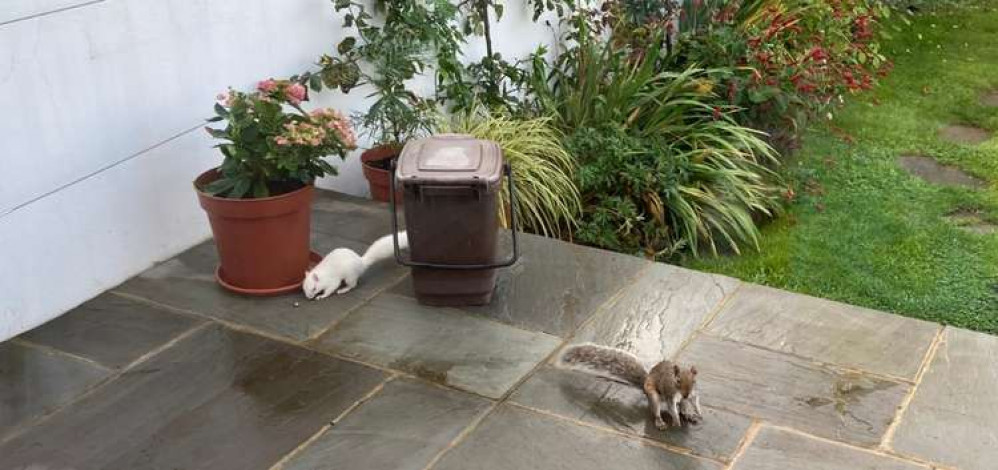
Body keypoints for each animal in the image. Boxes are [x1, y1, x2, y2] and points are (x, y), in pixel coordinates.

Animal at [556, 342, 704, 430]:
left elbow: (696, 401)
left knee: (683, 408)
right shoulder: (669, 394)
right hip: (653, 395)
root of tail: (644, 384)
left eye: (694, 381)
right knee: (655, 410)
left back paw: (689, 415)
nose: (685, 394)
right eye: (677, 381)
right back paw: (660, 422)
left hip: (681, 402)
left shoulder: (693, 394)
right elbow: (672, 408)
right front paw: (676, 421)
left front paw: (698, 412)